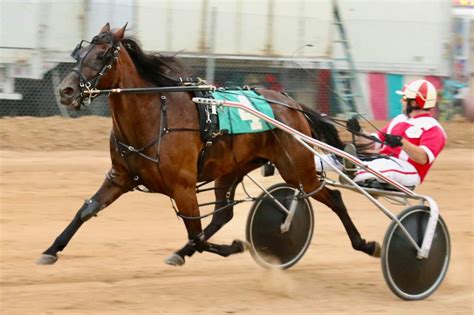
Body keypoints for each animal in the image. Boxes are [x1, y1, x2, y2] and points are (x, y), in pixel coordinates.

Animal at [35, 23, 380, 268]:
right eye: (79, 53)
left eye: (104, 55)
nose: (66, 91)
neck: (154, 116)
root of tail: (291, 103)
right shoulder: (120, 177)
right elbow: (86, 210)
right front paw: (51, 249)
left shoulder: (183, 186)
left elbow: (197, 235)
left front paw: (232, 246)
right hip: (232, 169)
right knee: (222, 216)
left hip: (297, 169)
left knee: (334, 197)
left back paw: (367, 244)